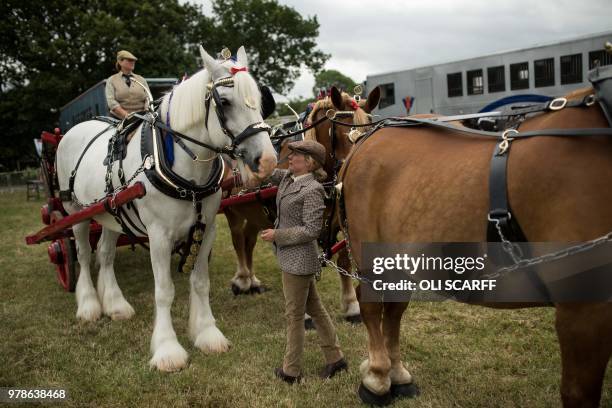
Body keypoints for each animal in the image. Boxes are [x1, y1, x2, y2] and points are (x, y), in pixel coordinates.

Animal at [57, 46, 278, 372]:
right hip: (75, 211)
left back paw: (115, 305)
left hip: (112, 213)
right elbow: (164, 291)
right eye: (225, 102)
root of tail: (76, 129)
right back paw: (88, 305)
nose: (267, 162)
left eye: (260, 101)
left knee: (105, 254)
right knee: (84, 254)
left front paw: (207, 333)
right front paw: (167, 349)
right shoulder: (159, 235)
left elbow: (199, 282)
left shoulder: (207, 227)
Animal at [220, 86, 380, 322]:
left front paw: (352, 306)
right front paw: (304, 313)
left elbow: (344, 259)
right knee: (238, 240)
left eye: (369, 131)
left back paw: (253, 281)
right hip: (232, 211)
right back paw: (242, 280)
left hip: (255, 215)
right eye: (335, 133)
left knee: (249, 241)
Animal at [338, 87, 612, 408]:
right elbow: (577, 392)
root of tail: (367, 137)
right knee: (370, 306)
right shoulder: (583, 311)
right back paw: (378, 379)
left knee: (394, 309)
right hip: (370, 255)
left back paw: (397, 374)